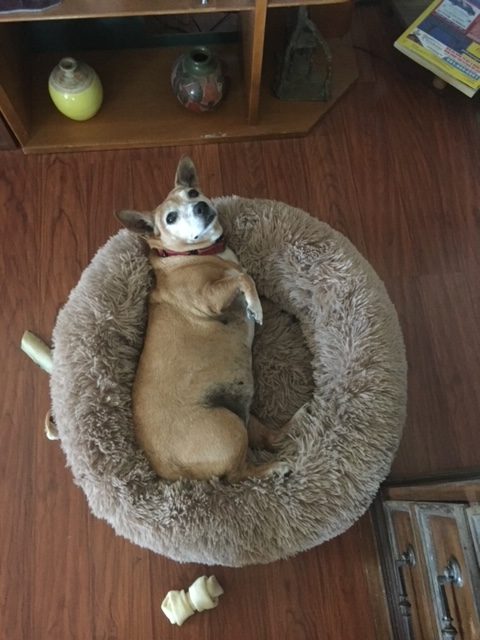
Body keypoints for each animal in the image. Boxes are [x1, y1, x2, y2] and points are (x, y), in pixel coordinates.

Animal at [117, 159, 286, 480]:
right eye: (170, 218)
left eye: (193, 192)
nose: (200, 206)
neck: (191, 254)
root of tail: (172, 473)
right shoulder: (208, 299)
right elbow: (242, 277)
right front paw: (255, 307)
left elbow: (242, 275)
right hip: (229, 429)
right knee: (238, 475)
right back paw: (274, 469)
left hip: (244, 420)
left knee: (269, 439)